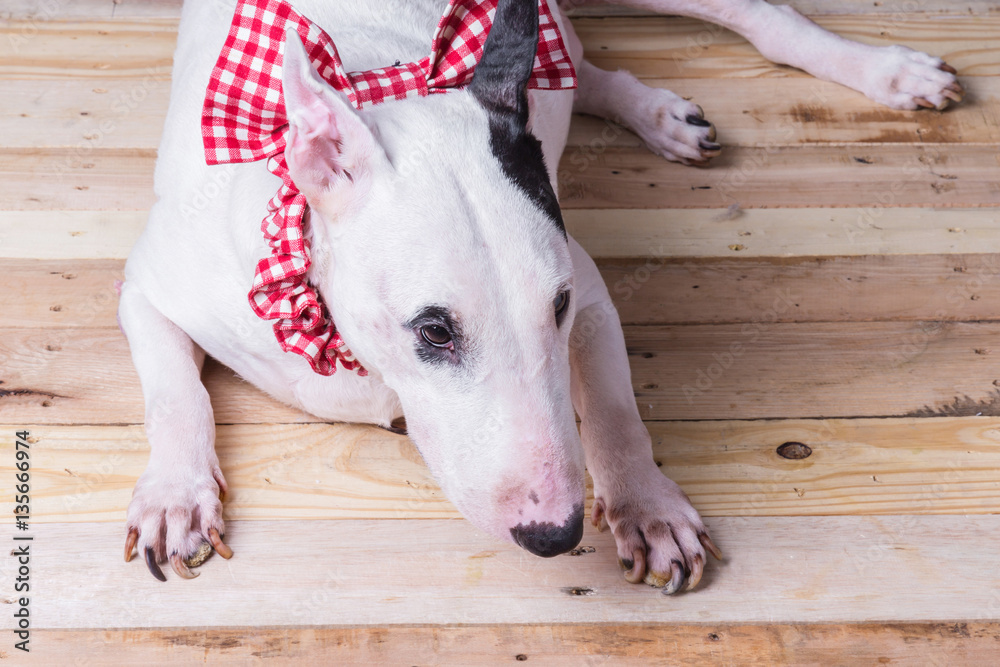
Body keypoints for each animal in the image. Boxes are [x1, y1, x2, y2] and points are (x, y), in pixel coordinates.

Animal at [119, 0, 960, 588]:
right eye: (434, 331)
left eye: (555, 307)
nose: (555, 535)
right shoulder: (148, 282)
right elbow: (174, 393)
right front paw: (175, 497)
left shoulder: (586, 283)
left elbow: (616, 407)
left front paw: (647, 507)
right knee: (574, 66)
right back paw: (655, 112)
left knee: (755, 18)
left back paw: (889, 72)